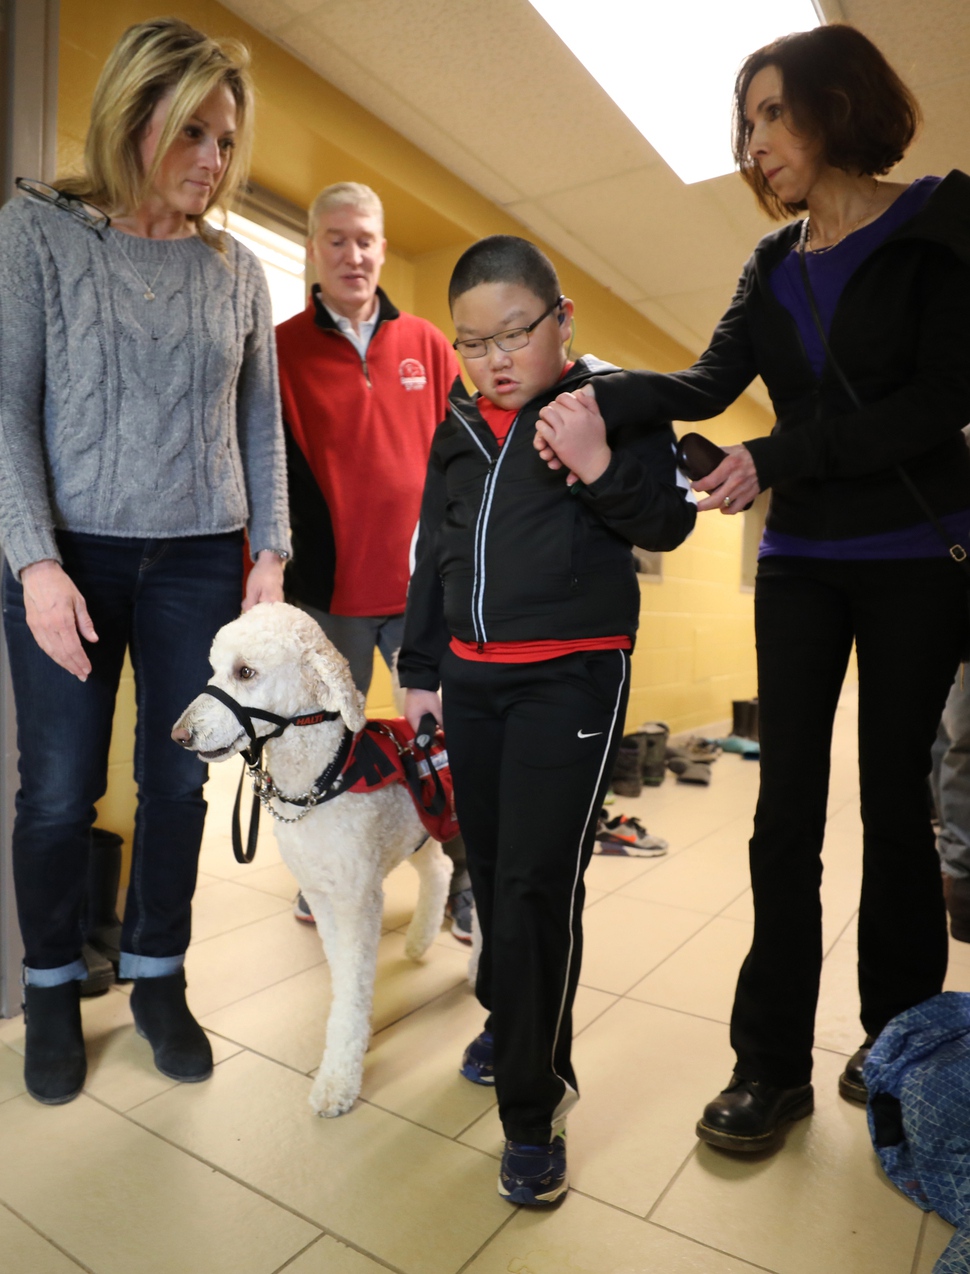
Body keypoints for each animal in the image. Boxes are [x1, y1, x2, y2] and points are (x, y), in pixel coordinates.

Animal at [169, 603, 451, 1116]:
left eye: (245, 672)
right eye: (214, 669)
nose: (179, 735)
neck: (322, 775)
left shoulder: (358, 898)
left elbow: (353, 978)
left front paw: (338, 1080)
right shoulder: (322, 896)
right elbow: (346, 979)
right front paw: (355, 1039)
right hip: (420, 829)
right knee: (440, 870)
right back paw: (420, 941)